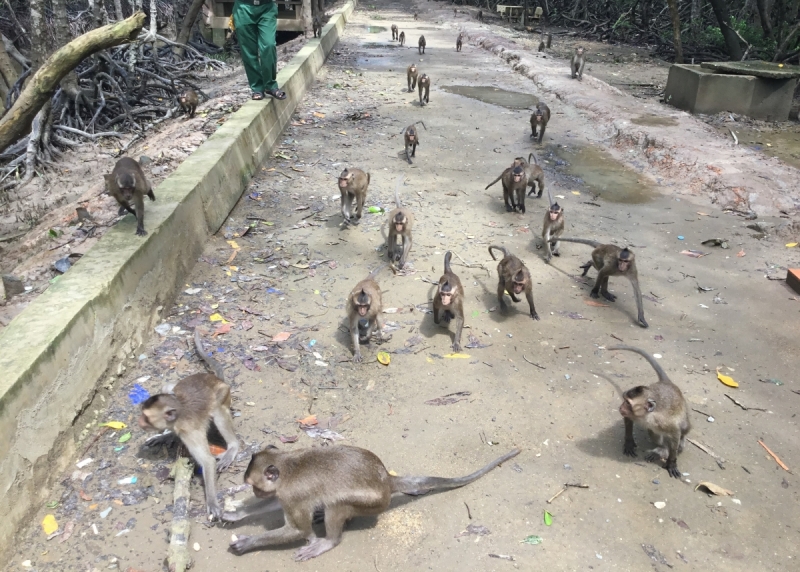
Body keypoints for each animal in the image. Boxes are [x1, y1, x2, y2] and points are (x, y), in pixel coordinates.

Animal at [138, 326, 241, 520]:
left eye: (146, 417)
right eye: (142, 415)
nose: (140, 422)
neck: (178, 416)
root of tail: (217, 379)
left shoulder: (189, 432)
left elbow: (207, 461)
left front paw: (212, 502)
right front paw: (165, 435)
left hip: (224, 394)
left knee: (218, 412)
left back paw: (232, 447)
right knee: (168, 387)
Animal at [225, 442, 520, 560]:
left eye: (254, 486)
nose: (254, 494)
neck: (287, 465)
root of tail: (386, 480)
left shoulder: (291, 494)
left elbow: (298, 529)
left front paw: (246, 543)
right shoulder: (286, 494)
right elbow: (277, 504)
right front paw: (234, 513)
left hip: (372, 501)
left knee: (337, 506)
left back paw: (329, 539)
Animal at [608, 344, 692, 478]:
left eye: (628, 403)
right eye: (624, 399)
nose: (620, 407)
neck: (646, 415)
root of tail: (667, 383)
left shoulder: (664, 422)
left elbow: (675, 434)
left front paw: (671, 462)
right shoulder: (633, 415)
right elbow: (628, 419)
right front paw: (629, 442)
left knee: (683, 428)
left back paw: (664, 450)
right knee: (654, 432)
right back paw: (661, 449)